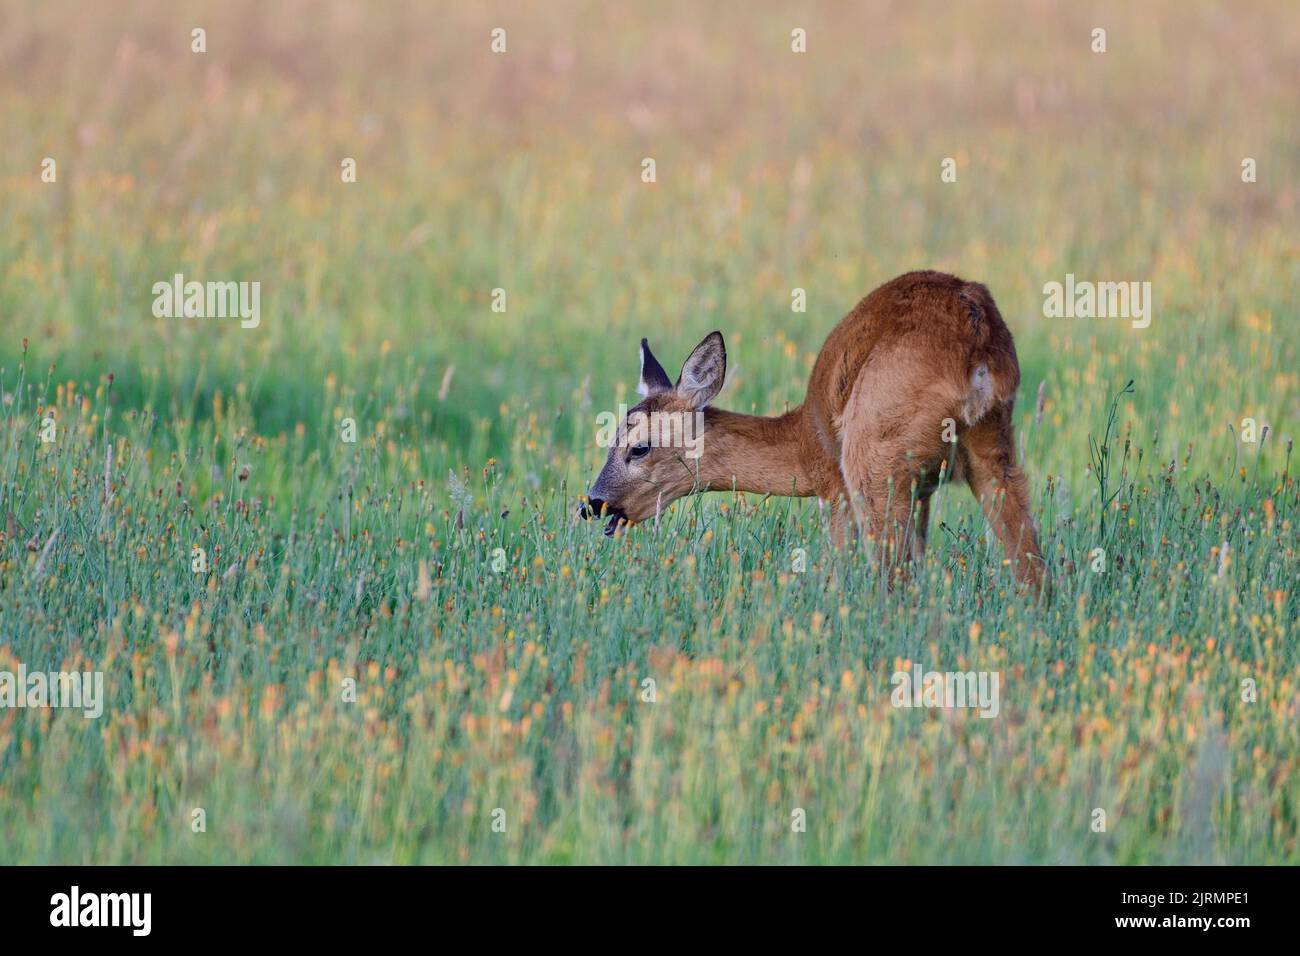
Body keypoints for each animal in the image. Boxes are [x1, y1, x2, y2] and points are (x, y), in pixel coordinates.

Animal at [585, 265, 1050, 587]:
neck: (803, 440)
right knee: (1033, 569)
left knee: (895, 580)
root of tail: (976, 333)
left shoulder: (834, 487)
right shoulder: (922, 491)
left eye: (639, 447)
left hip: (872, 458)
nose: (592, 503)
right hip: (994, 446)